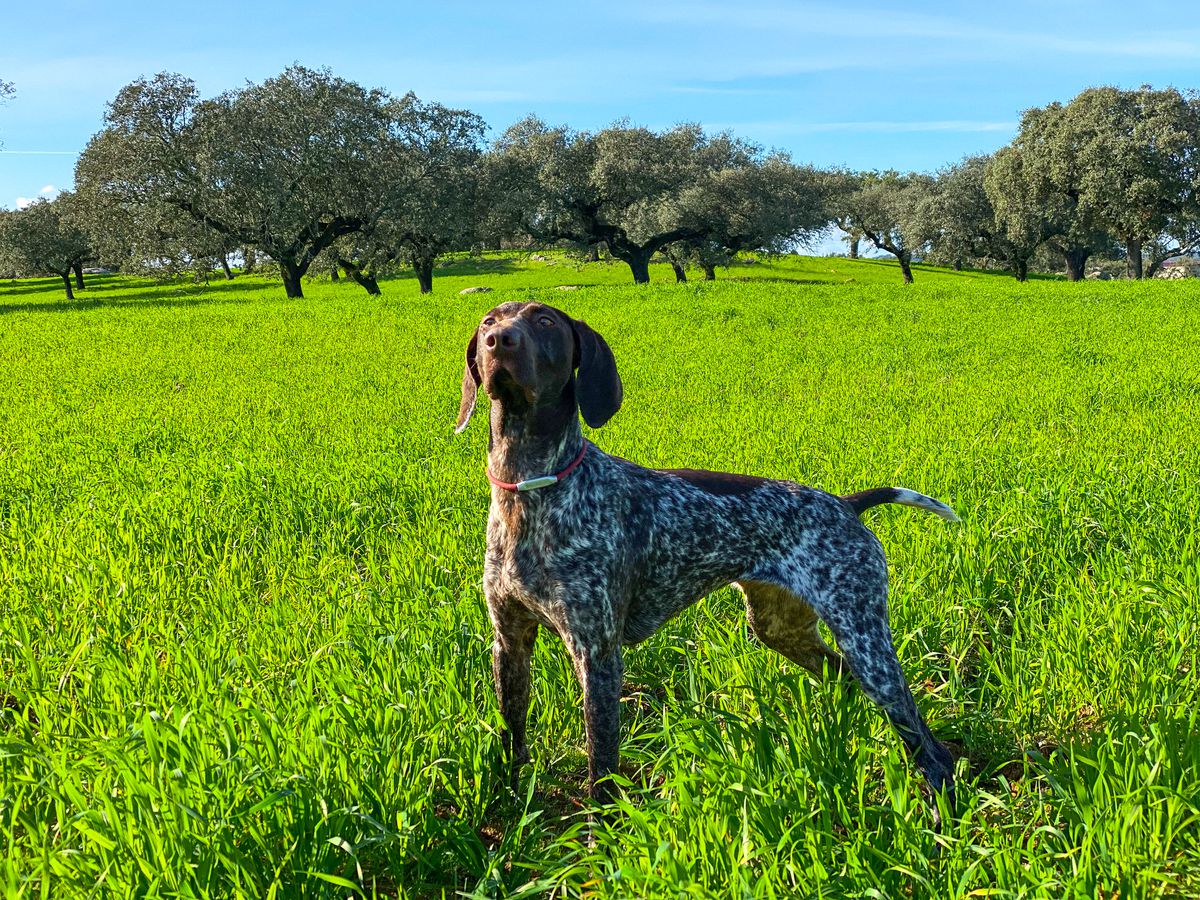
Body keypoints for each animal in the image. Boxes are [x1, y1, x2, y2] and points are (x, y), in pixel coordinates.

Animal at [453, 301, 960, 811]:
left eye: (545, 323)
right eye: (488, 322)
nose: (500, 340)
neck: (529, 484)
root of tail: (845, 503)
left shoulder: (596, 655)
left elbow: (601, 768)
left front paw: (601, 829)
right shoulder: (509, 641)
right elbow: (512, 738)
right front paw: (510, 801)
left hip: (866, 641)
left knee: (931, 749)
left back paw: (940, 809)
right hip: (781, 628)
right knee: (842, 679)